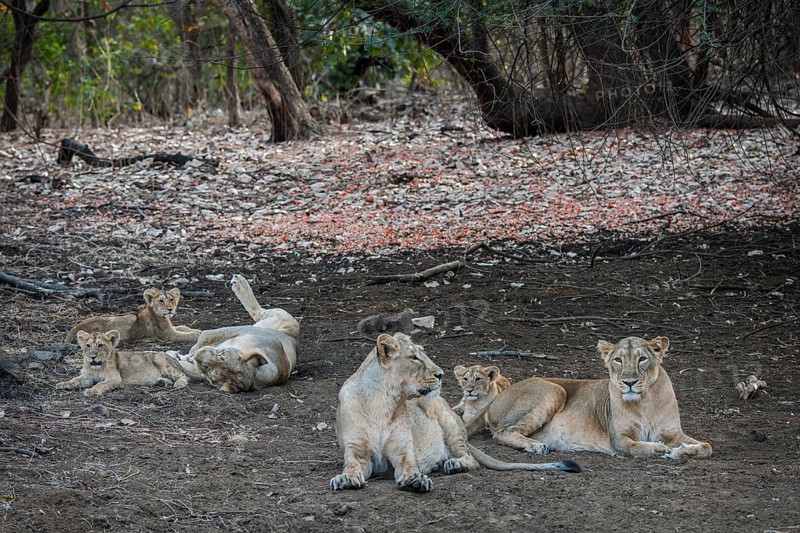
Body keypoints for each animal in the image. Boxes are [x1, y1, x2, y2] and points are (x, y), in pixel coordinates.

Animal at [55, 330, 202, 396]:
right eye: (88, 345)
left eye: (101, 345)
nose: (92, 357)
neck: (96, 368)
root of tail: (174, 359)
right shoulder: (87, 377)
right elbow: (75, 379)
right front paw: (63, 384)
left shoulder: (115, 378)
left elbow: (102, 384)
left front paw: (92, 390)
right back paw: (158, 382)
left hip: (159, 359)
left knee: (182, 376)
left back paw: (179, 383)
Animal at [65, 288, 200, 345]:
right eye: (161, 301)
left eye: (171, 299)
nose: (170, 309)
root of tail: (74, 328)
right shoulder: (169, 335)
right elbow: (188, 335)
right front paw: (198, 334)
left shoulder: (172, 329)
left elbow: (183, 327)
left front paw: (197, 330)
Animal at [329, 333, 580, 493]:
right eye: (414, 357)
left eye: (423, 354)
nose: (441, 374)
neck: (383, 401)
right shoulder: (356, 451)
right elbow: (352, 465)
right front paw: (346, 479)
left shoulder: (402, 450)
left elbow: (410, 466)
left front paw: (416, 480)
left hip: (446, 418)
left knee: (470, 458)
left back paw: (452, 464)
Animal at [464, 336, 712, 460]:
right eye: (618, 360)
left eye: (642, 359)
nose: (629, 382)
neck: (645, 401)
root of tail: (495, 399)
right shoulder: (619, 439)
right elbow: (637, 447)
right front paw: (659, 449)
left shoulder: (673, 433)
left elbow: (707, 446)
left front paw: (681, 451)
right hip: (555, 390)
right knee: (502, 434)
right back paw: (537, 446)